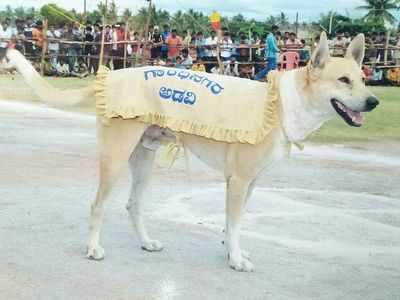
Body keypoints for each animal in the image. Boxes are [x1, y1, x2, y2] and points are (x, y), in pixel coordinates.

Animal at [1, 32, 380, 272]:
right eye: (344, 80)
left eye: (363, 79)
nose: (374, 101)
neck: (285, 104)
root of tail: (113, 77)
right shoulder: (238, 181)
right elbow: (235, 223)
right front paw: (236, 260)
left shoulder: (249, 184)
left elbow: (234, 224)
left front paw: (231, 251)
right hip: (115, 158)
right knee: (98, 206)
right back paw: (93, 248)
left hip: (144, 159)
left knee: (133, 204)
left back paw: (146, 242)